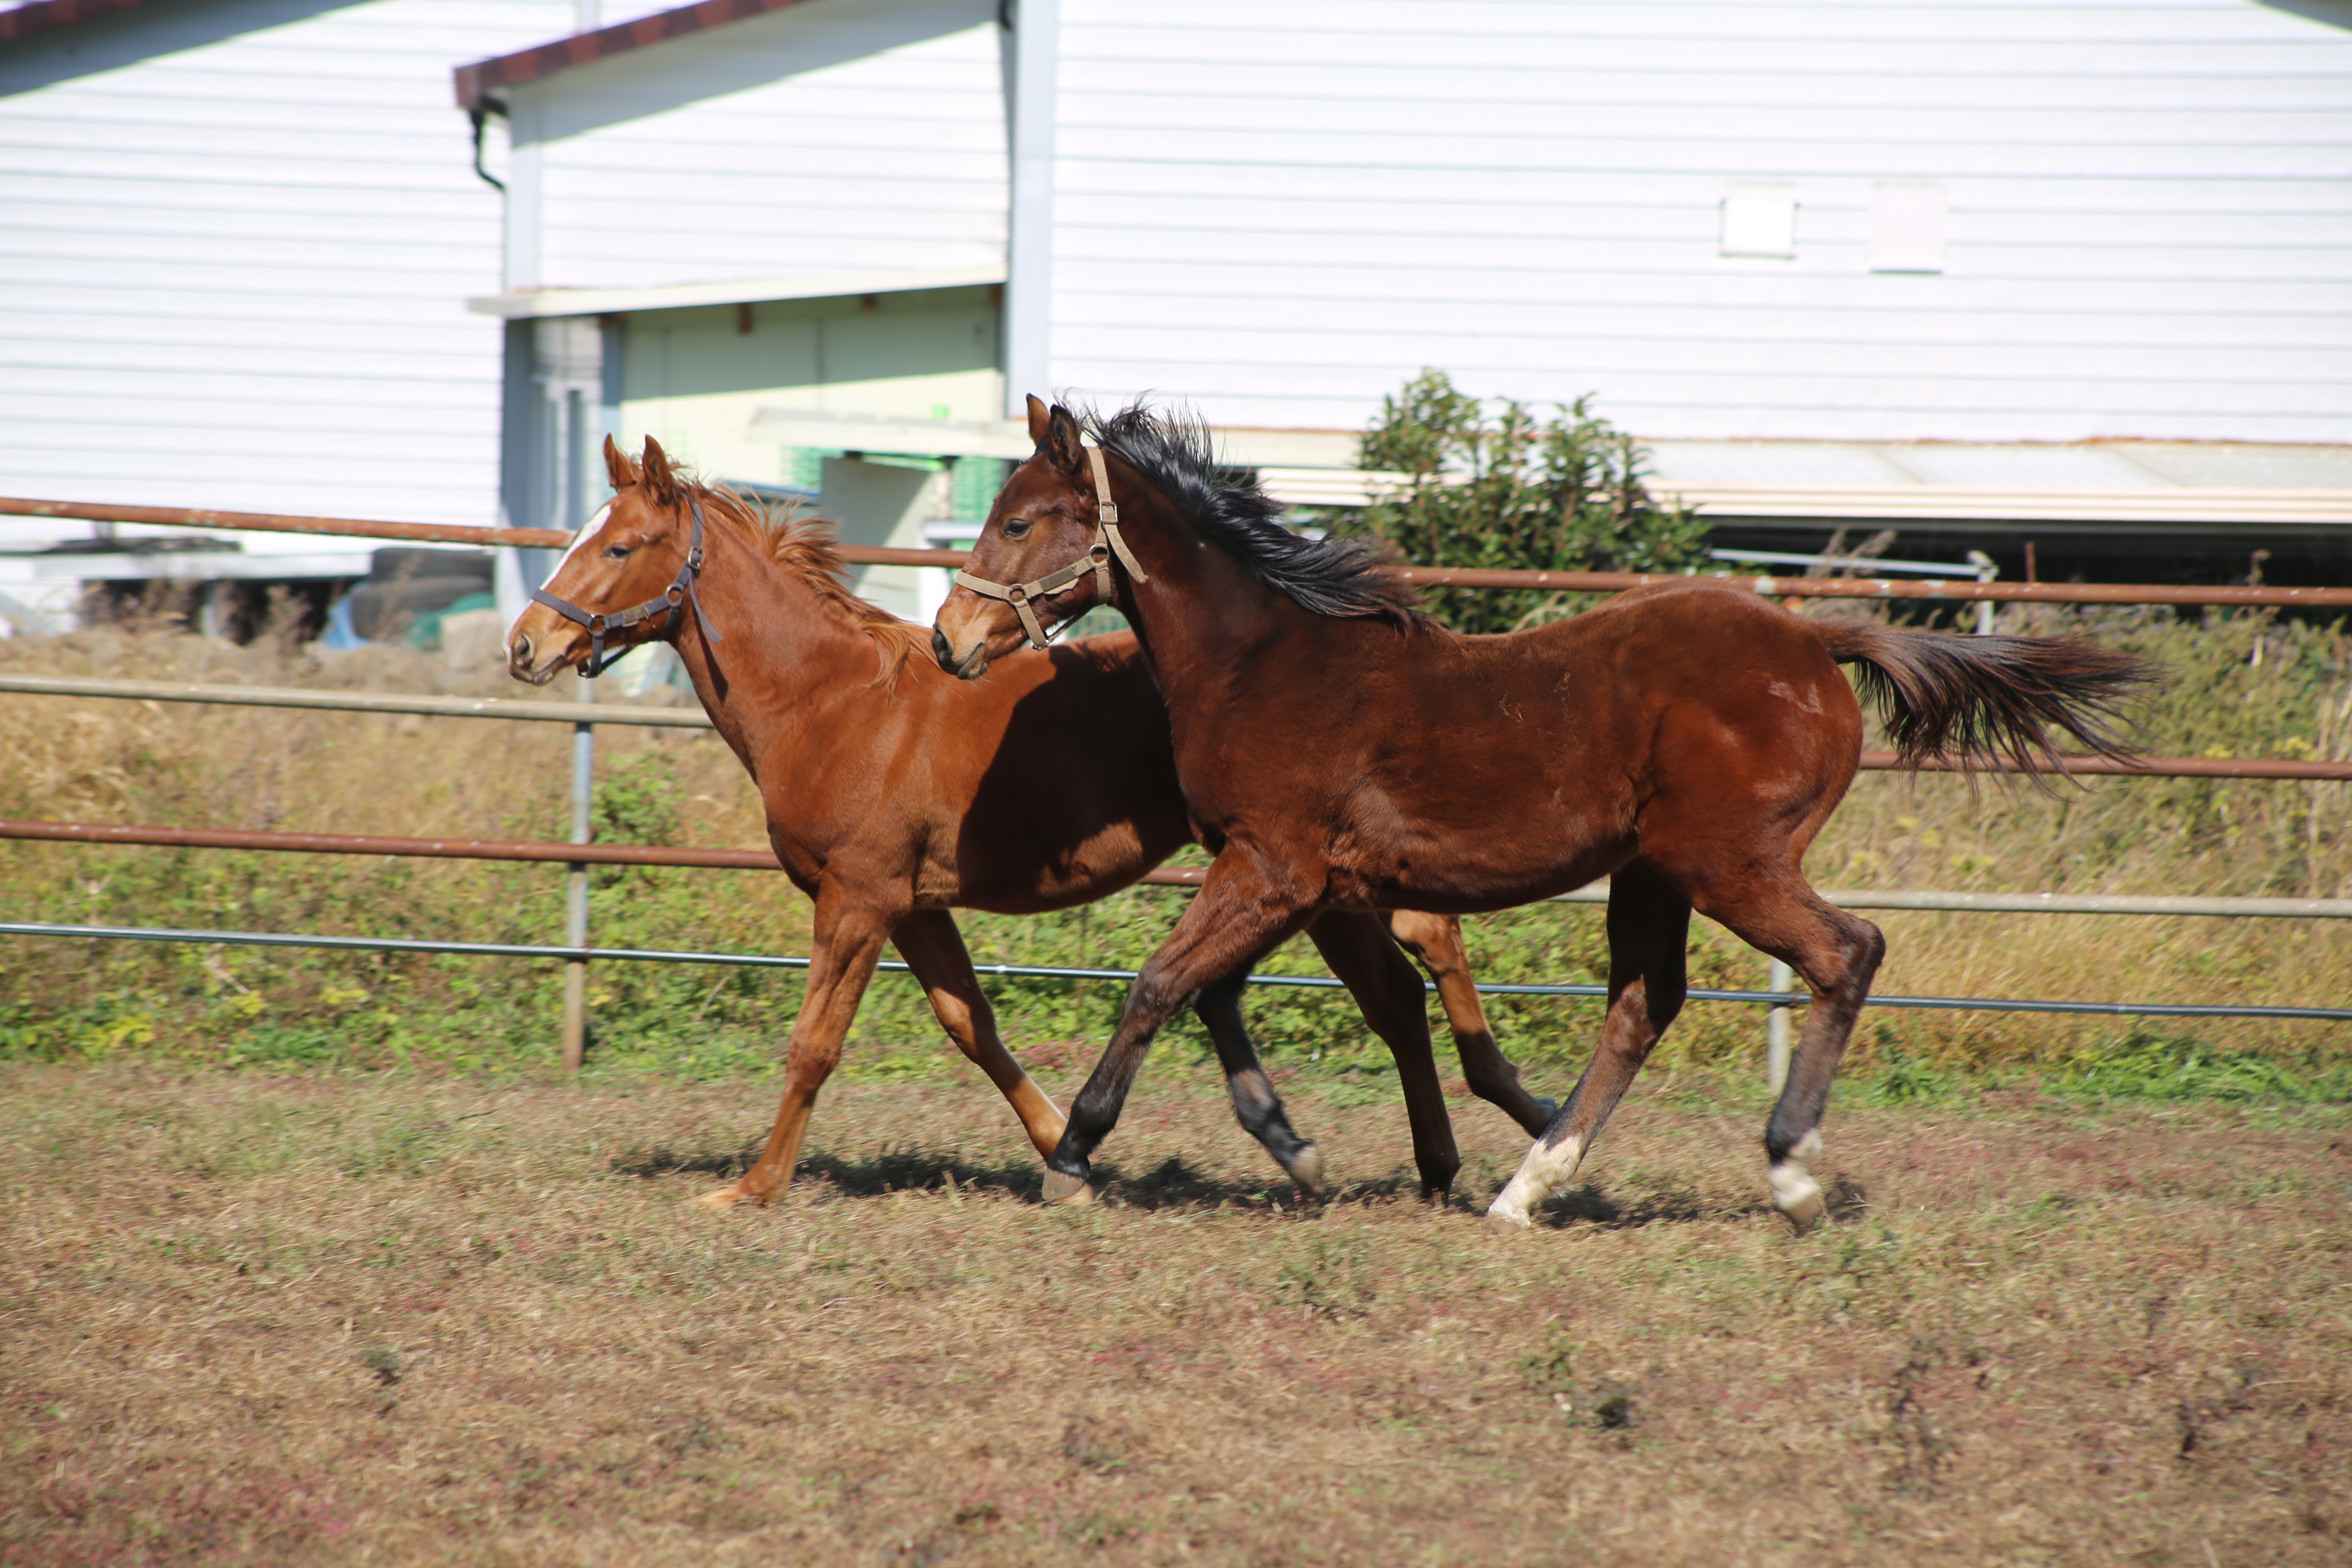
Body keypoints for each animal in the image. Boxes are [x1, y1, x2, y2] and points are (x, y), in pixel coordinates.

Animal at [510, 435, 1561, 1213]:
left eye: (616, 548)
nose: (527, 643)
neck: (832, 701)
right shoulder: (914, 905)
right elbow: (970, 1024)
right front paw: (1068, 1151)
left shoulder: (857, 897)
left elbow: (814, 1042)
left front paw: (752, 1189)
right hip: (1297, 877)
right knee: (1392, 983)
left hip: (1286, 871)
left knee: (1414, 955)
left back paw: (1502, 1118)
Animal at [936, 399, 2154, 1232]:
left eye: (1023, 520)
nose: (950, 641)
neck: (1264, 662)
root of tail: (1816, 639)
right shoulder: (1306, 881)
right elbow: (1231, 992)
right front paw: (1299, 1147)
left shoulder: (1275, 867)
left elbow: (1161, 982)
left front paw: (1075, 1154)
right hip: (1652, 873)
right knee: (1643, 1006)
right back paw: (1531, 1184)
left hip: (1725, 862)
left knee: (1844, 951)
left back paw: (1790, 1170)